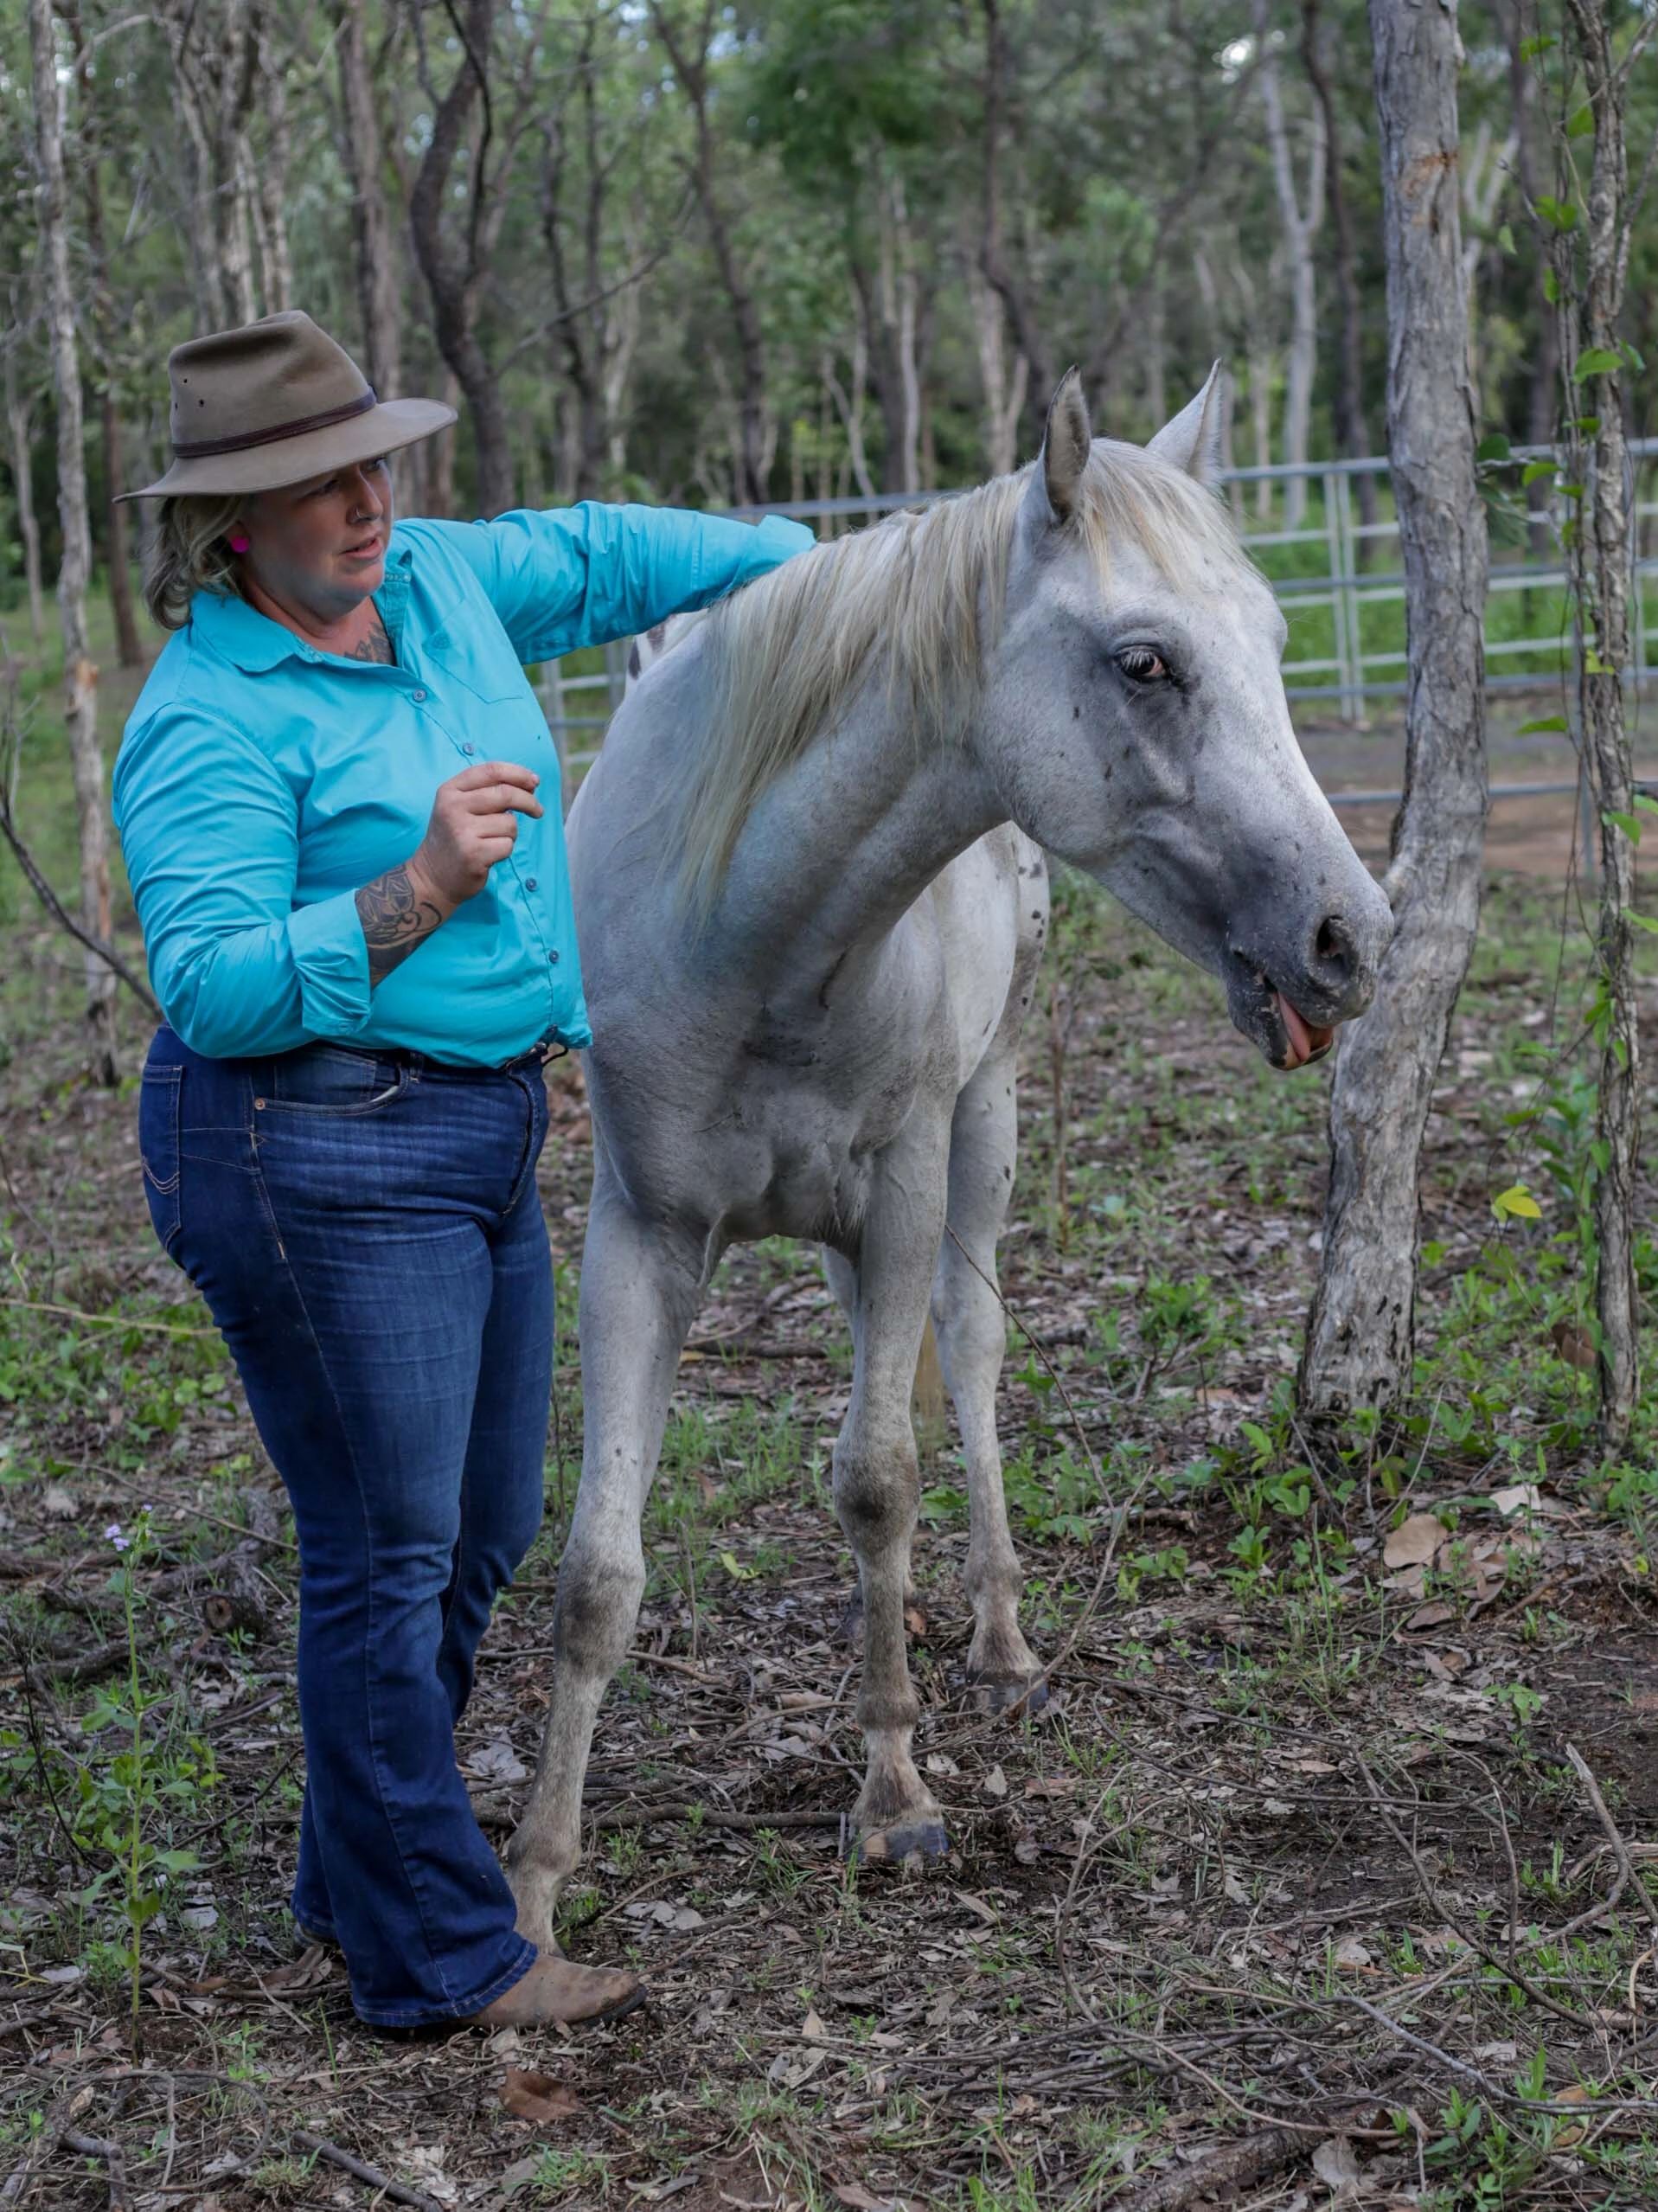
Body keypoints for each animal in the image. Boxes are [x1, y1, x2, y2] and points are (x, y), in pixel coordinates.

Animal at [512, 371, 1397, 1946]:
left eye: (1276, 641)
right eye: (1146, 662)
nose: (1346, 938)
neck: (751, 935)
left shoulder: (908, 1188)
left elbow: (878, 1476)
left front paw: (894, 1792)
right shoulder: (637, 1237)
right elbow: (597, 1571)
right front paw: (535, 1884)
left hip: (978, 1134)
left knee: (970, 1353)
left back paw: (988, 1627)